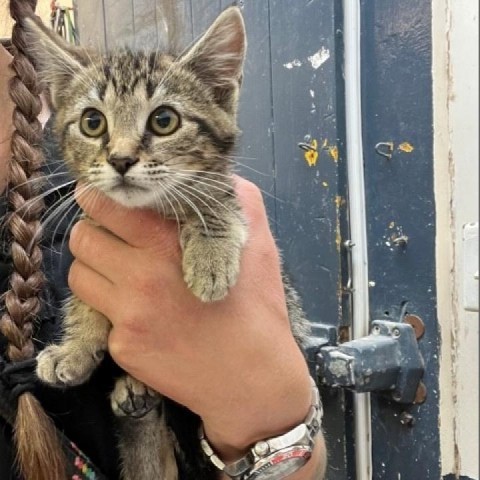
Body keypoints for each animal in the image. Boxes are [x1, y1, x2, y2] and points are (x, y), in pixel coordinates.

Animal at [23, 6, 308, 480]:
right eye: (92, 122)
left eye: (164, 120)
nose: (120, 159)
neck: (149, 211)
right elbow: (84, 302)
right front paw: (76, 348)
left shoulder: (226, 191)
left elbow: (217, 205)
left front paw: (210, 260)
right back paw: (134, 398)